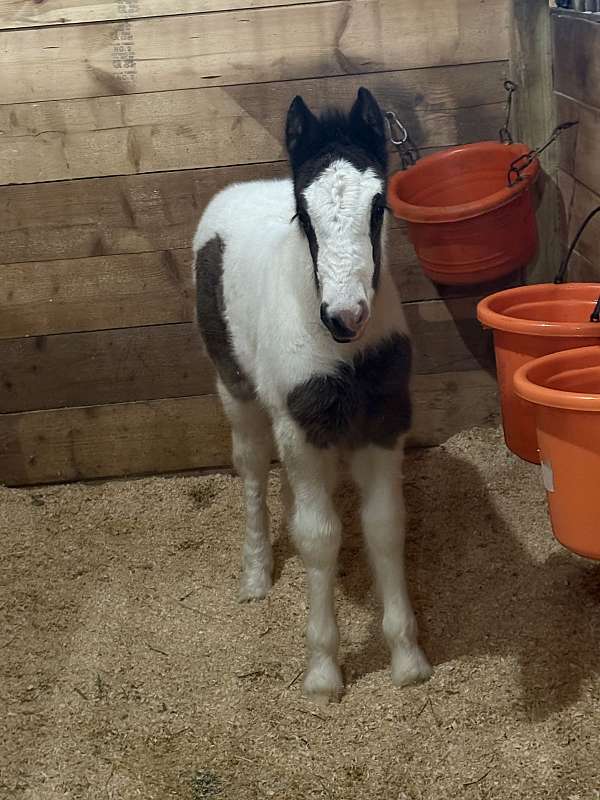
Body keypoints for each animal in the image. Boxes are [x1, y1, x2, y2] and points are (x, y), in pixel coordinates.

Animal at [193, 87, 432, 700]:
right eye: (303, 214)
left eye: (379, 206)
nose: (346, 316)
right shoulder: (301, 430)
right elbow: (319, 536)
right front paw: (324, 672)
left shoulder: (383, 421)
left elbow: (384, 525)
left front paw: (407, 658)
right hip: (236, 389)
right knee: (252, 467)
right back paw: (256, 574)